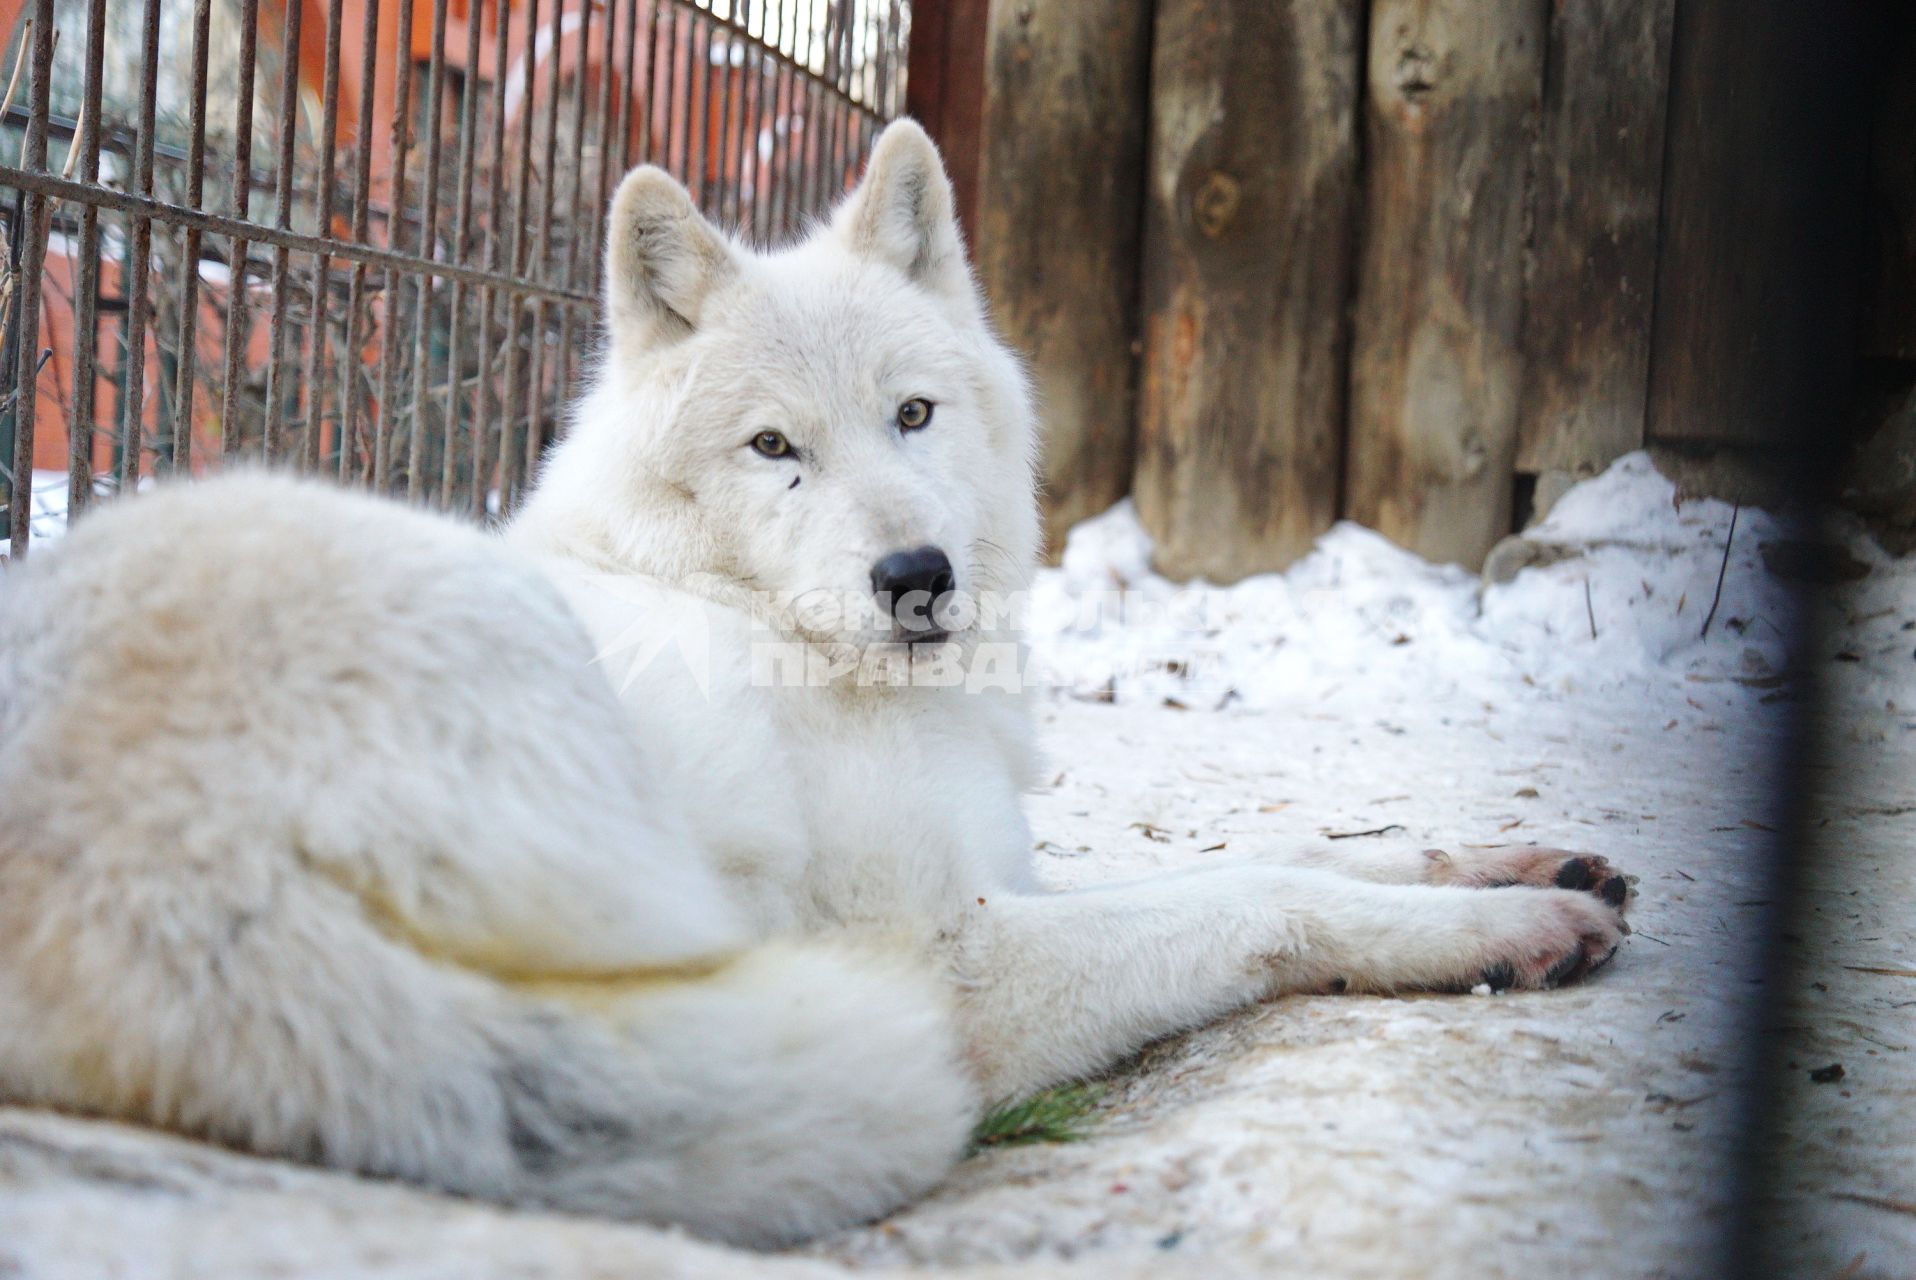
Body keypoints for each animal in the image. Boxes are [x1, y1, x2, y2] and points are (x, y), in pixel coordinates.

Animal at [0, 122, 1632, 1249]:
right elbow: (1258, 892)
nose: (916, 574)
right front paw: (1497, 932)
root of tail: (153, 890)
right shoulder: (955, 948)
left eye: (912, 414)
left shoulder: (1001, 870)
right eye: (773, 447)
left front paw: (1509, 860)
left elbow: (1291, 846)